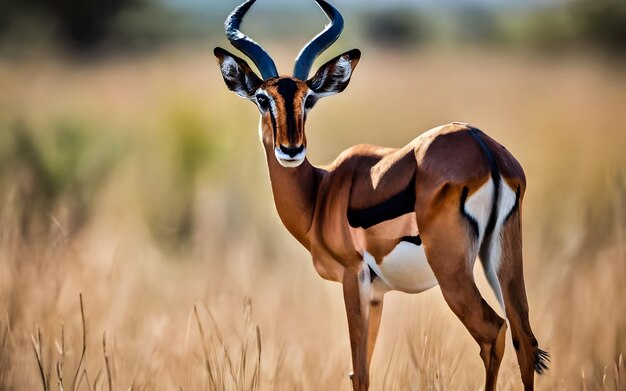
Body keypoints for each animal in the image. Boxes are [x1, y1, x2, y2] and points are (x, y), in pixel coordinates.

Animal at [213, 1, 544, 390]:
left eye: (308, 99)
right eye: (263, 99)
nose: (291, 149)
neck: (321, 192)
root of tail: (484, 148)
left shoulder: (352, 278)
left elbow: (359, 371)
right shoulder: (376, 296)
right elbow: (363, 368)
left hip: (453, 274)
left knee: (494, 332)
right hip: (502, 260)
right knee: (525, 338)